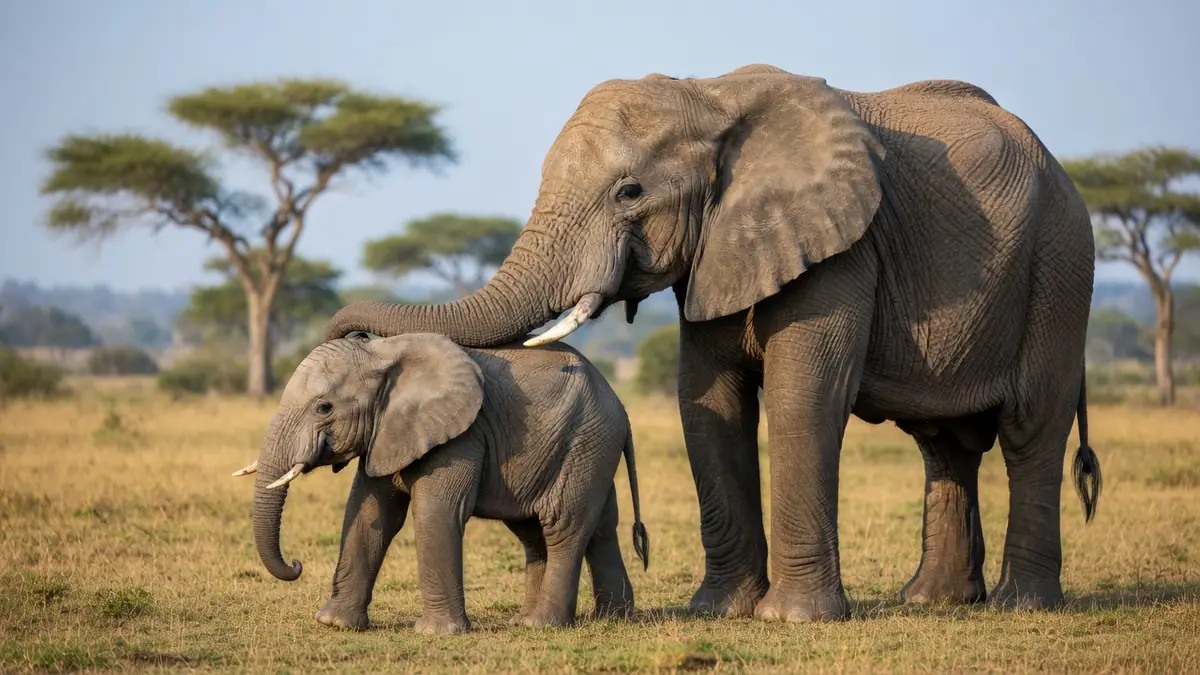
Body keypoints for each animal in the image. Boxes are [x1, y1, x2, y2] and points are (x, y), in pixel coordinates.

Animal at [233, 332, 649, 633]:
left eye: (324, 408)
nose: (296, 564)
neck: (383, 353)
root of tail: (622, 407)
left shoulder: (460, 436)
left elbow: (436, 512)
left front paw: (434, 633)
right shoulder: (386, 433)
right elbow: (368, 514)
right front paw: (334, 624)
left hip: (585, 441)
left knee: (563, 525)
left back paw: (541, 625)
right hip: (578, 447)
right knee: (572, 530)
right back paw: (604, 618)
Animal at [320, 64, 1103, 622]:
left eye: (629, 193)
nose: (345, 331)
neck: (710, 97)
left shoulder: (844, 248)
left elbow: (803, 396)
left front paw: (792, 619)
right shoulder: (719, 246)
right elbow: (708, 401)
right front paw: (719, 612)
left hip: (1061, 261)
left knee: (1030, 427)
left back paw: (1022, 605)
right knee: (944, 442)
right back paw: (932, 601)